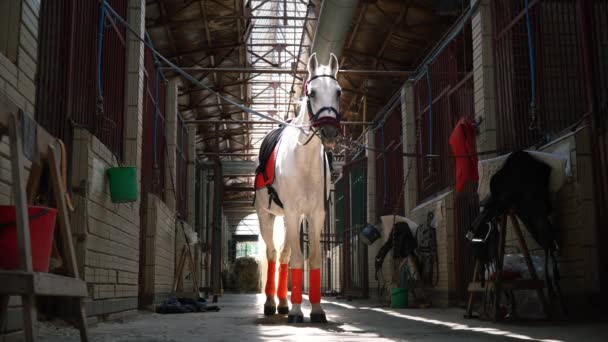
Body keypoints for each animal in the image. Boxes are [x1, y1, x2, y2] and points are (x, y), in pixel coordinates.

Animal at [253, 52, 342, 322]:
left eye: (338, 92)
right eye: (312, 92)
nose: (330, 132)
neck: (303, 159)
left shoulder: (315, 214)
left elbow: (312, 259)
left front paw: (316, 310)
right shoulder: (292, 213)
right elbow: (297, 260)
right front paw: (296, 312)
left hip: (287, 219)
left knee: (282, 255)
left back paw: (282, 303)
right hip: (267, 216)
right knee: (273, 254)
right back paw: (271, 303)